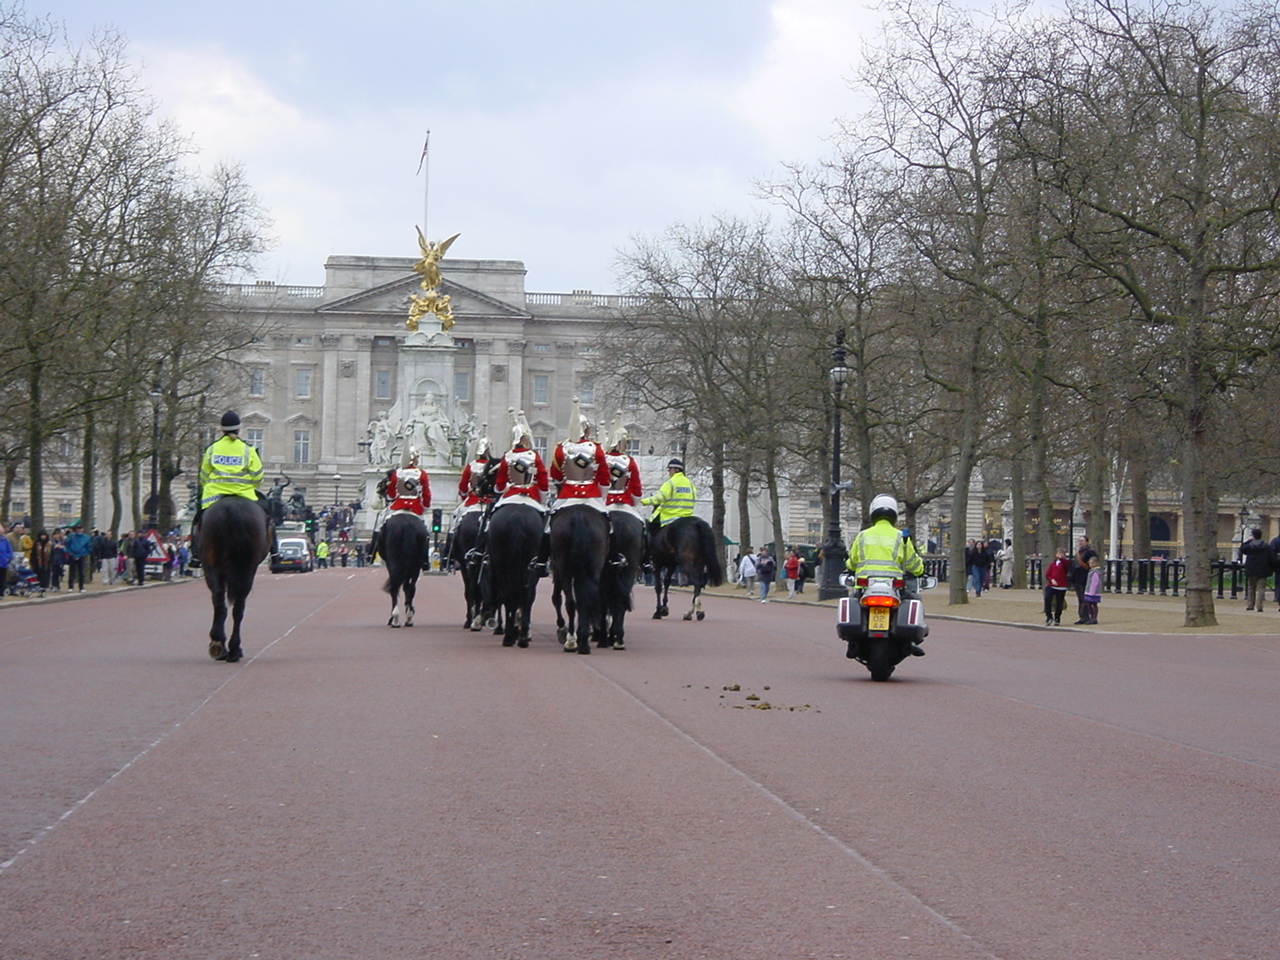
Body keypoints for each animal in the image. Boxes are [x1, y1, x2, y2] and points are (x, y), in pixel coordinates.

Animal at [199, 496, 270, 660]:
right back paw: (229, 647)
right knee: (236, 605)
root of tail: (233, 506)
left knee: (222, 601)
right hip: (244, 569)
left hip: (213, 565)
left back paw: (223, 645)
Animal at [550, 504, 609, 655]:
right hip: (594, 568)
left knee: (571, 603)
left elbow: (556, 598)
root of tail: (579, 515)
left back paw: (572, 641)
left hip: (564, 568)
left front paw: (563, 630)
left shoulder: (557, 568)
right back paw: (585, 642)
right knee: (589, 599)